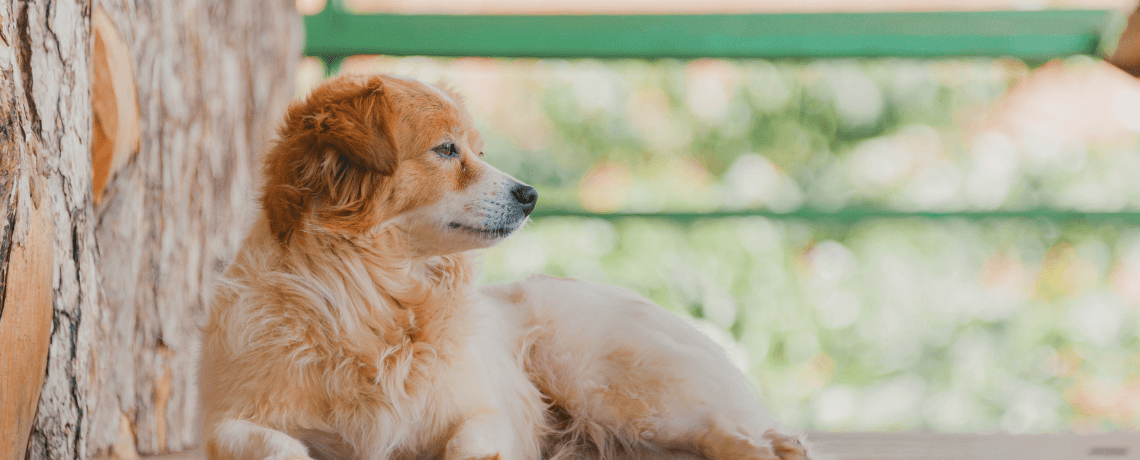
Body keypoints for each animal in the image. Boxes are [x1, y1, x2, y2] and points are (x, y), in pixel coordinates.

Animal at [198, 72, 811, 459]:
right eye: (447, 150)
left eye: (478, 150)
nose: (532, 195)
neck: (372, 297)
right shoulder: (225, 422)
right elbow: (271, 443)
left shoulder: (484, 410)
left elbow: (470, 440)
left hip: (602, 382)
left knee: (713, 426)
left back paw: (769, 448)